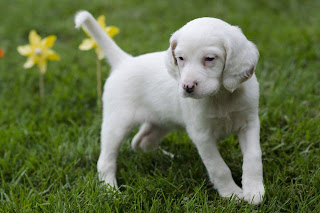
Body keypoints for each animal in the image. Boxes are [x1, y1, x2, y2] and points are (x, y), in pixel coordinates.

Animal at [75, 11, 264, 205]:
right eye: (180, 58)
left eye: (210, 58)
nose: (187, 86)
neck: (221, 95)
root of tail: (124, 62)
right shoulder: (202, 135)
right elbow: (218, 167)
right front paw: (231, 193)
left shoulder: (250, 123)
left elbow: (253, 157)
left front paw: (254, 191)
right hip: (117, 124)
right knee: (106, 161)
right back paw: (111, 191)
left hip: (161, 122)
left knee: (141, 141)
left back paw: (165, 157)